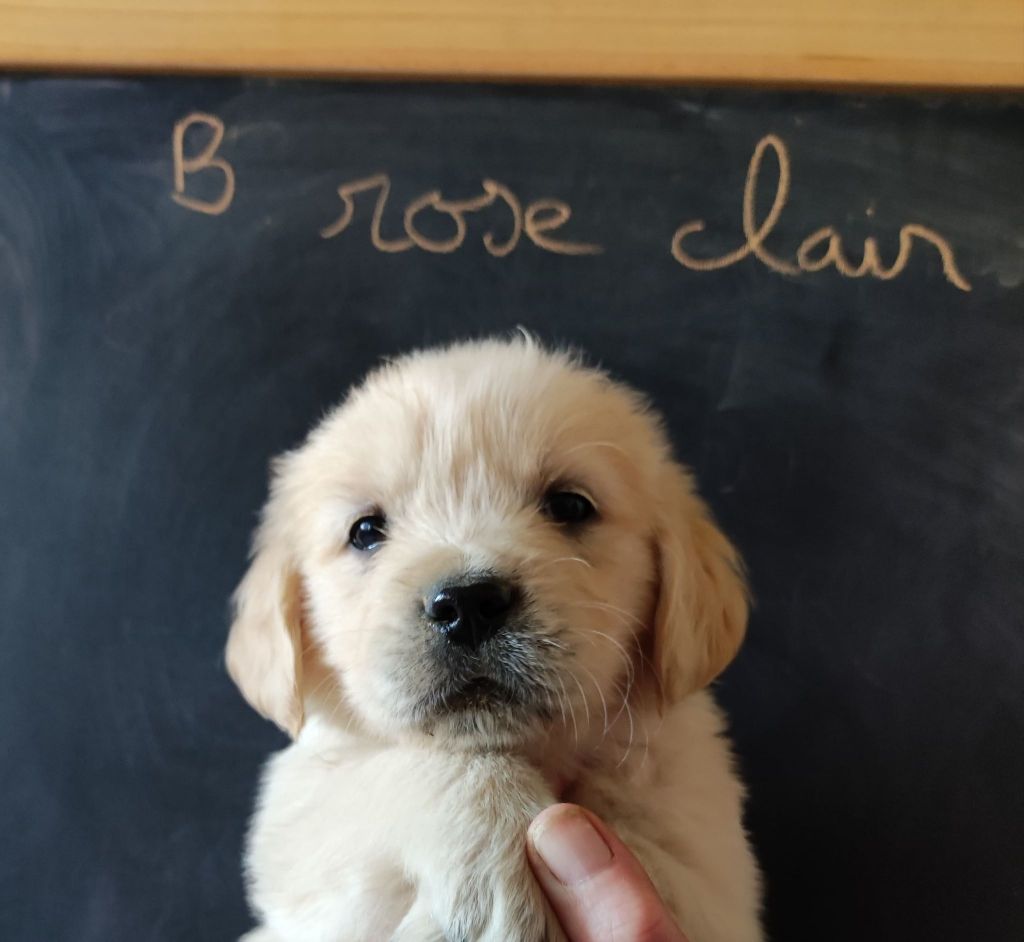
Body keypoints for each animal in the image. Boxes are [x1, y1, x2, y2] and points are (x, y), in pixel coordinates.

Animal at [227, 336, 763, 941]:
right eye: (365, 531)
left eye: (570, 505)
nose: (467, 606)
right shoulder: (301, 815)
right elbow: (394, 768)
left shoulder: (709, 864)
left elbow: (648, 818)